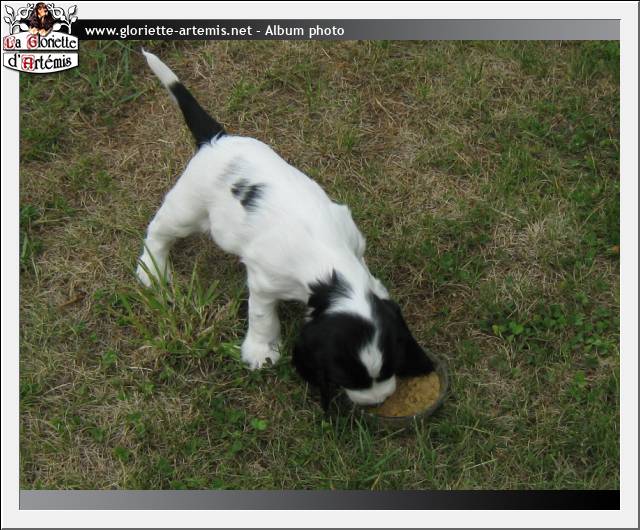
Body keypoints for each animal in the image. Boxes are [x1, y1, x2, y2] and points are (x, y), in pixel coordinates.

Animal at [137, 50, 435, 411]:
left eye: (390, 366)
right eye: (346, 378)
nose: (377, 401)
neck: (331, 270)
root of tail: (216, 141)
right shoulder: (264, 283)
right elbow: (263, 317)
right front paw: (260, 351)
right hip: (188, 209)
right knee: (158, 231)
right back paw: (152, 270)